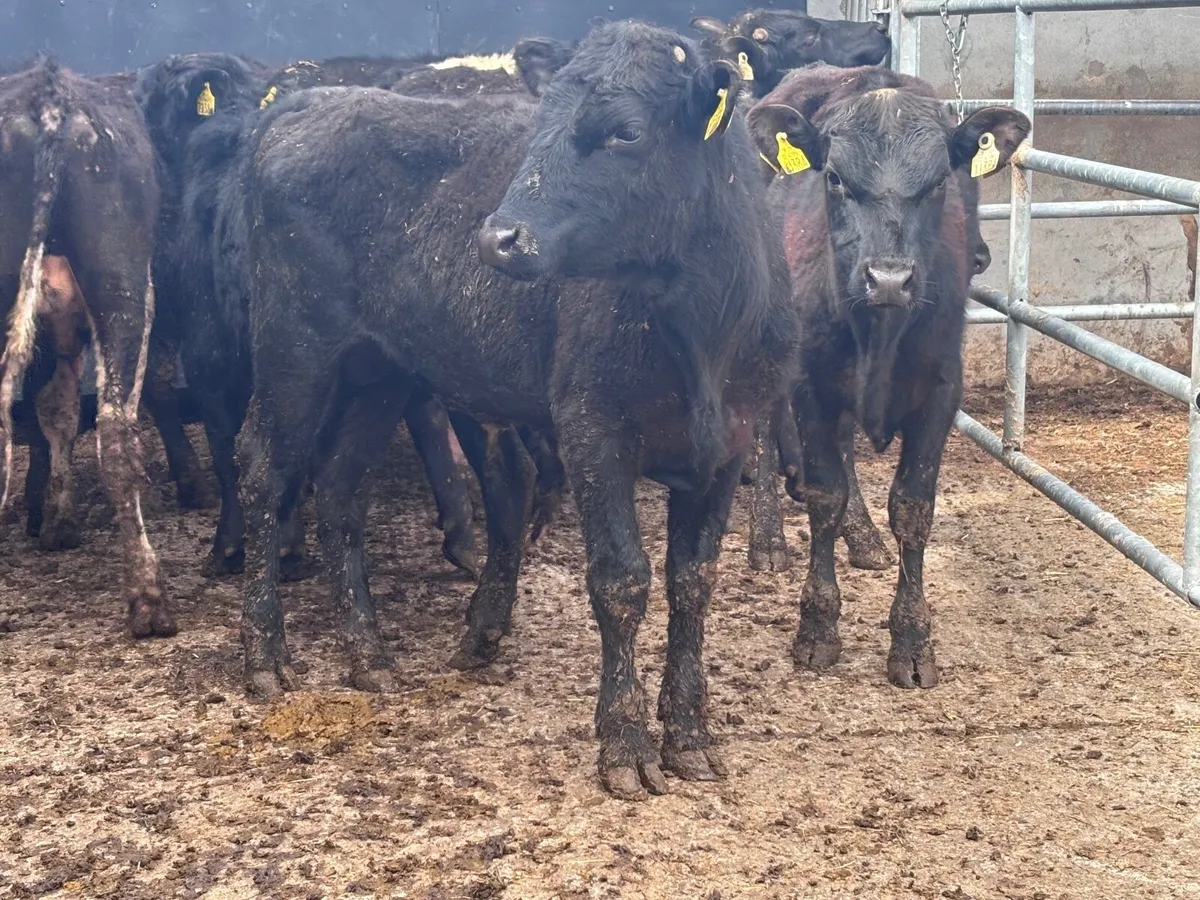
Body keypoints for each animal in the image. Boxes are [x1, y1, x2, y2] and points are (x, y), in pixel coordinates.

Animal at [0, 57, 175, 637]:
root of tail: (49, 93)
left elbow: (55, 413)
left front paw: (58, 520)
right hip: (126, 284)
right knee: (117, 431)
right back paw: (149, 601)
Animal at [744, 64, 1029, 687]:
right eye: (834, 178)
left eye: (940, 183)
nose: (890, 279)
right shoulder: (810, 384)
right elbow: (824, 496)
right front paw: (817, 628)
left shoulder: (942, 392)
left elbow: (912, 509)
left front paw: (913, 640)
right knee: (760, 430)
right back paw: (767, 538)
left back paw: (864, 535)